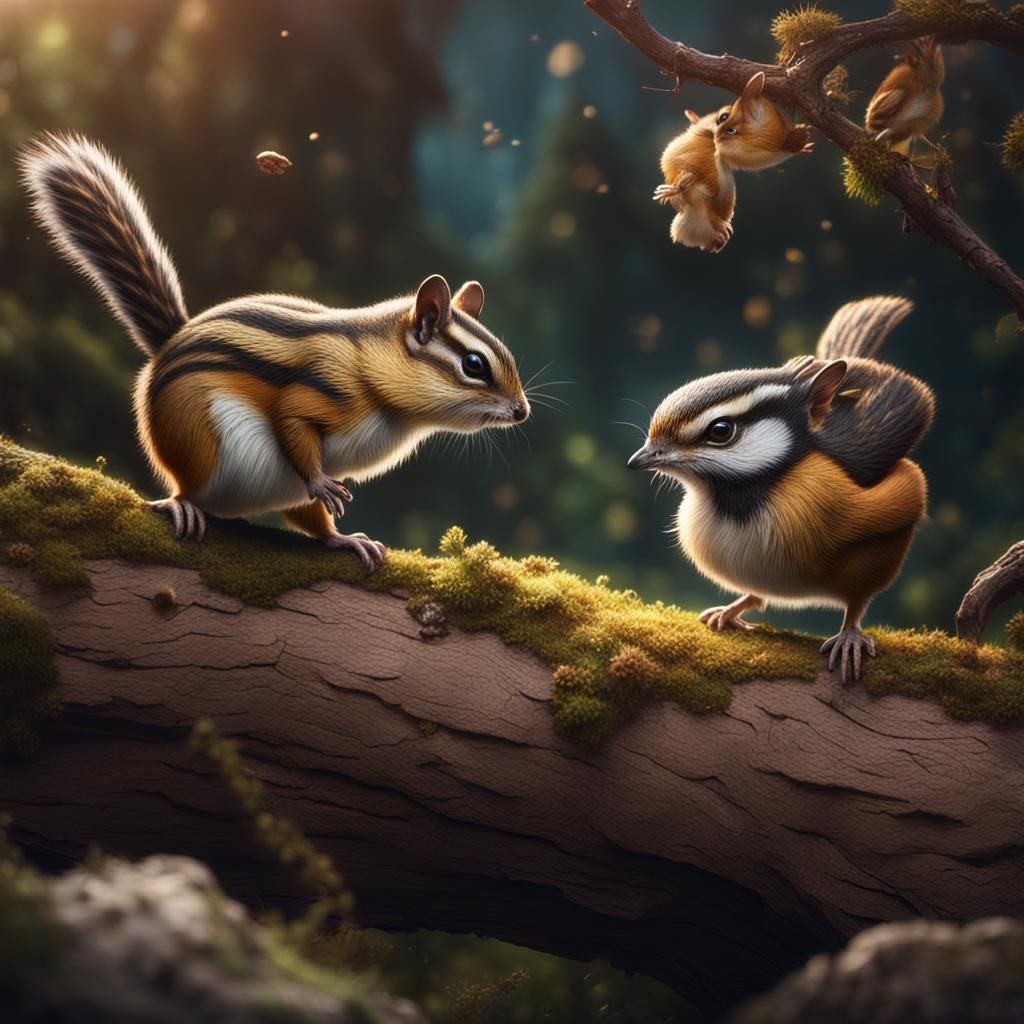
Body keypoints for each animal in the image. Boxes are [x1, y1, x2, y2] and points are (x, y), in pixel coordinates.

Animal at [20, 133, 530, 572]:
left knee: (309, 520)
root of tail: (168, 343)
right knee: (185, 484)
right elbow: (290, 417)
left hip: (281, 488)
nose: (523, 411)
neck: (372, 368)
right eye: (474, 365)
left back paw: (345, 540)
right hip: (194, 436)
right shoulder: (325, 386)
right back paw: (183, 504)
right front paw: (322, 479)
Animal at [627, 296, 935, 683]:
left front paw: (849, 636)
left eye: (720, 430)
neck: (745, 491)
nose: (638, 459)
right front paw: (729, 610)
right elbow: (754, 596)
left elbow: (856, 603)